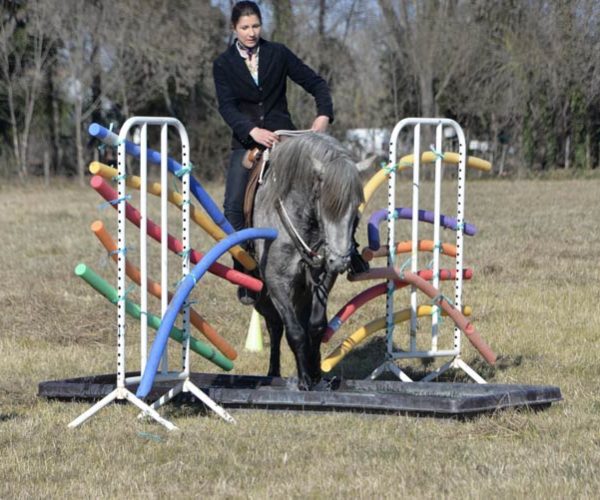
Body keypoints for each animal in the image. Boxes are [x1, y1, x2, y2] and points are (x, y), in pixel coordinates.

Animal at [251, 133, 364, 390]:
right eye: (327, 205)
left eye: (356, 210)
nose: (340, 262)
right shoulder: (277, 282)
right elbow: (294, 331)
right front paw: (304, 380)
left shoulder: (322, 278)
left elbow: (315, 326)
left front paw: (315, 374)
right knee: (275, 326)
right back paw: (273, 372)